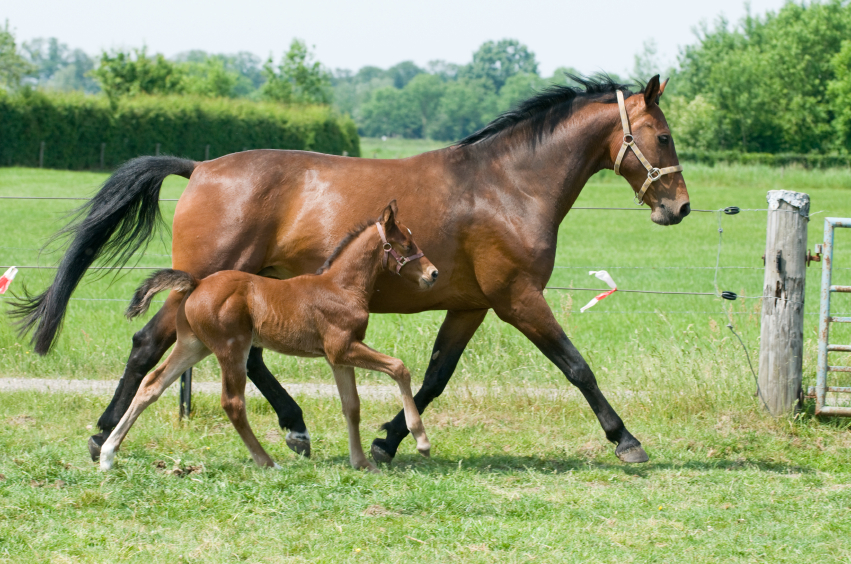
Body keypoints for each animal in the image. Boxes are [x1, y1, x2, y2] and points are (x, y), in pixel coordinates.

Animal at [98, 202, 440, 472]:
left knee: (152, 385)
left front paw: (362, 462)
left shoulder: (338, 358)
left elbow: (351, 406)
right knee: (233, 402)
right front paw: (421, 441)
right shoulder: (343, 348)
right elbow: (398, 367)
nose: (433, 273)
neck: (341, 287)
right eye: (406, 244)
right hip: (231, 347)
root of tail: (196, 284)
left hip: (193, 345)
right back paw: (267, 461)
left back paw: (107, 454)